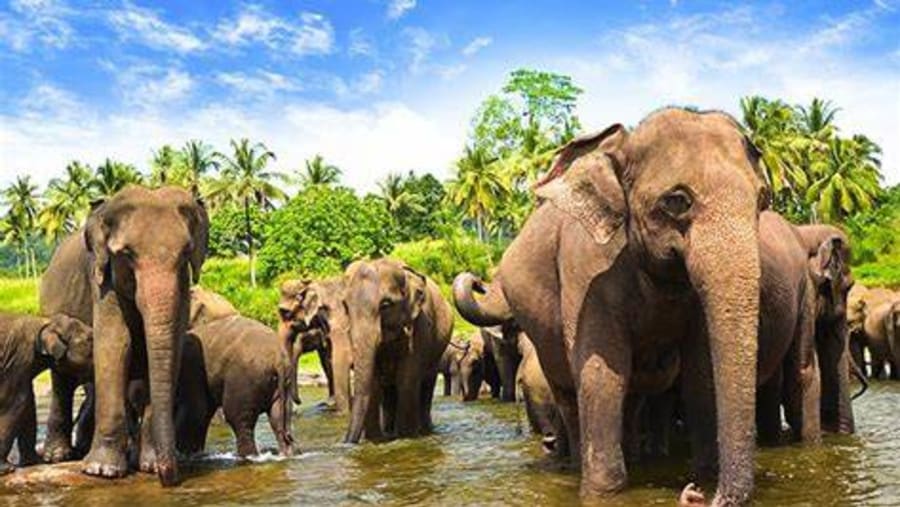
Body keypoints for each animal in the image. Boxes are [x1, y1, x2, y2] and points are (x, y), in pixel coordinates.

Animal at [0, 313, 93, 474]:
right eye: (90, 339)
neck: (46, 322)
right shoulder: (18, 360)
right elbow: (14, 403)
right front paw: (6, 469)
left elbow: (27, 406)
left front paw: (35, 462)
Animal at [40, 185, 208, 485]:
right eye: (127, 254)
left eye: (185, 253)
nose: (170, 478)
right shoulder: (102, 279)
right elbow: (116, 344)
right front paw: (102, 471)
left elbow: (172, 347)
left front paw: (149, 466)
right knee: (61, 380)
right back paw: (58, 456)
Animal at [173, 314, 294, 458]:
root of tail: (278, 358)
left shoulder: (191, 371)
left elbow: (194, 412)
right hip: (283, 384)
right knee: (279, 420)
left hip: (244, 378)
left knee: (237, 419)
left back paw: (247, 456)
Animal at [343, 258, 453, 443]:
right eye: (345, 306)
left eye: (385, 305)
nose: (346, 442)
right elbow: (373, 384)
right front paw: (376, 440)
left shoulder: (420, 327)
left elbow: (407, 381)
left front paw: (406, 437)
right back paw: (390, 431)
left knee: (426, 385)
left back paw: (425, 430)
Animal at [453, 108, 770, 504]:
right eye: (676, 201)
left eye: (762, 200)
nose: (695, 494)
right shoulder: (586, 269)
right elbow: (602, 371)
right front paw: (604, 492)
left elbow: (700, 370)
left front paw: (706, 473)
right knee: (569, 393)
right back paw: (575, 465)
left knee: (631, 396)